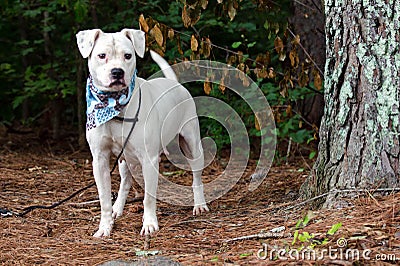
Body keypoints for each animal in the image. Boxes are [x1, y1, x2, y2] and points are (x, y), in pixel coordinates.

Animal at [76, 29, 211, 237]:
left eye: (128, 55)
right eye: (101, 55)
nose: (117, 72)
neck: (115, 106)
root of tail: (174, 84)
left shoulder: (149, 159)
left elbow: (148, 196)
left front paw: (149, 224)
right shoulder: (99, 160)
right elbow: (104, 198)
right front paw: (105, 227)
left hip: (192, 145)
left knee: (196, 177)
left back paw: (199, 205)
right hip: (124, 159)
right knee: (125, 183)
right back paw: (117, 209)